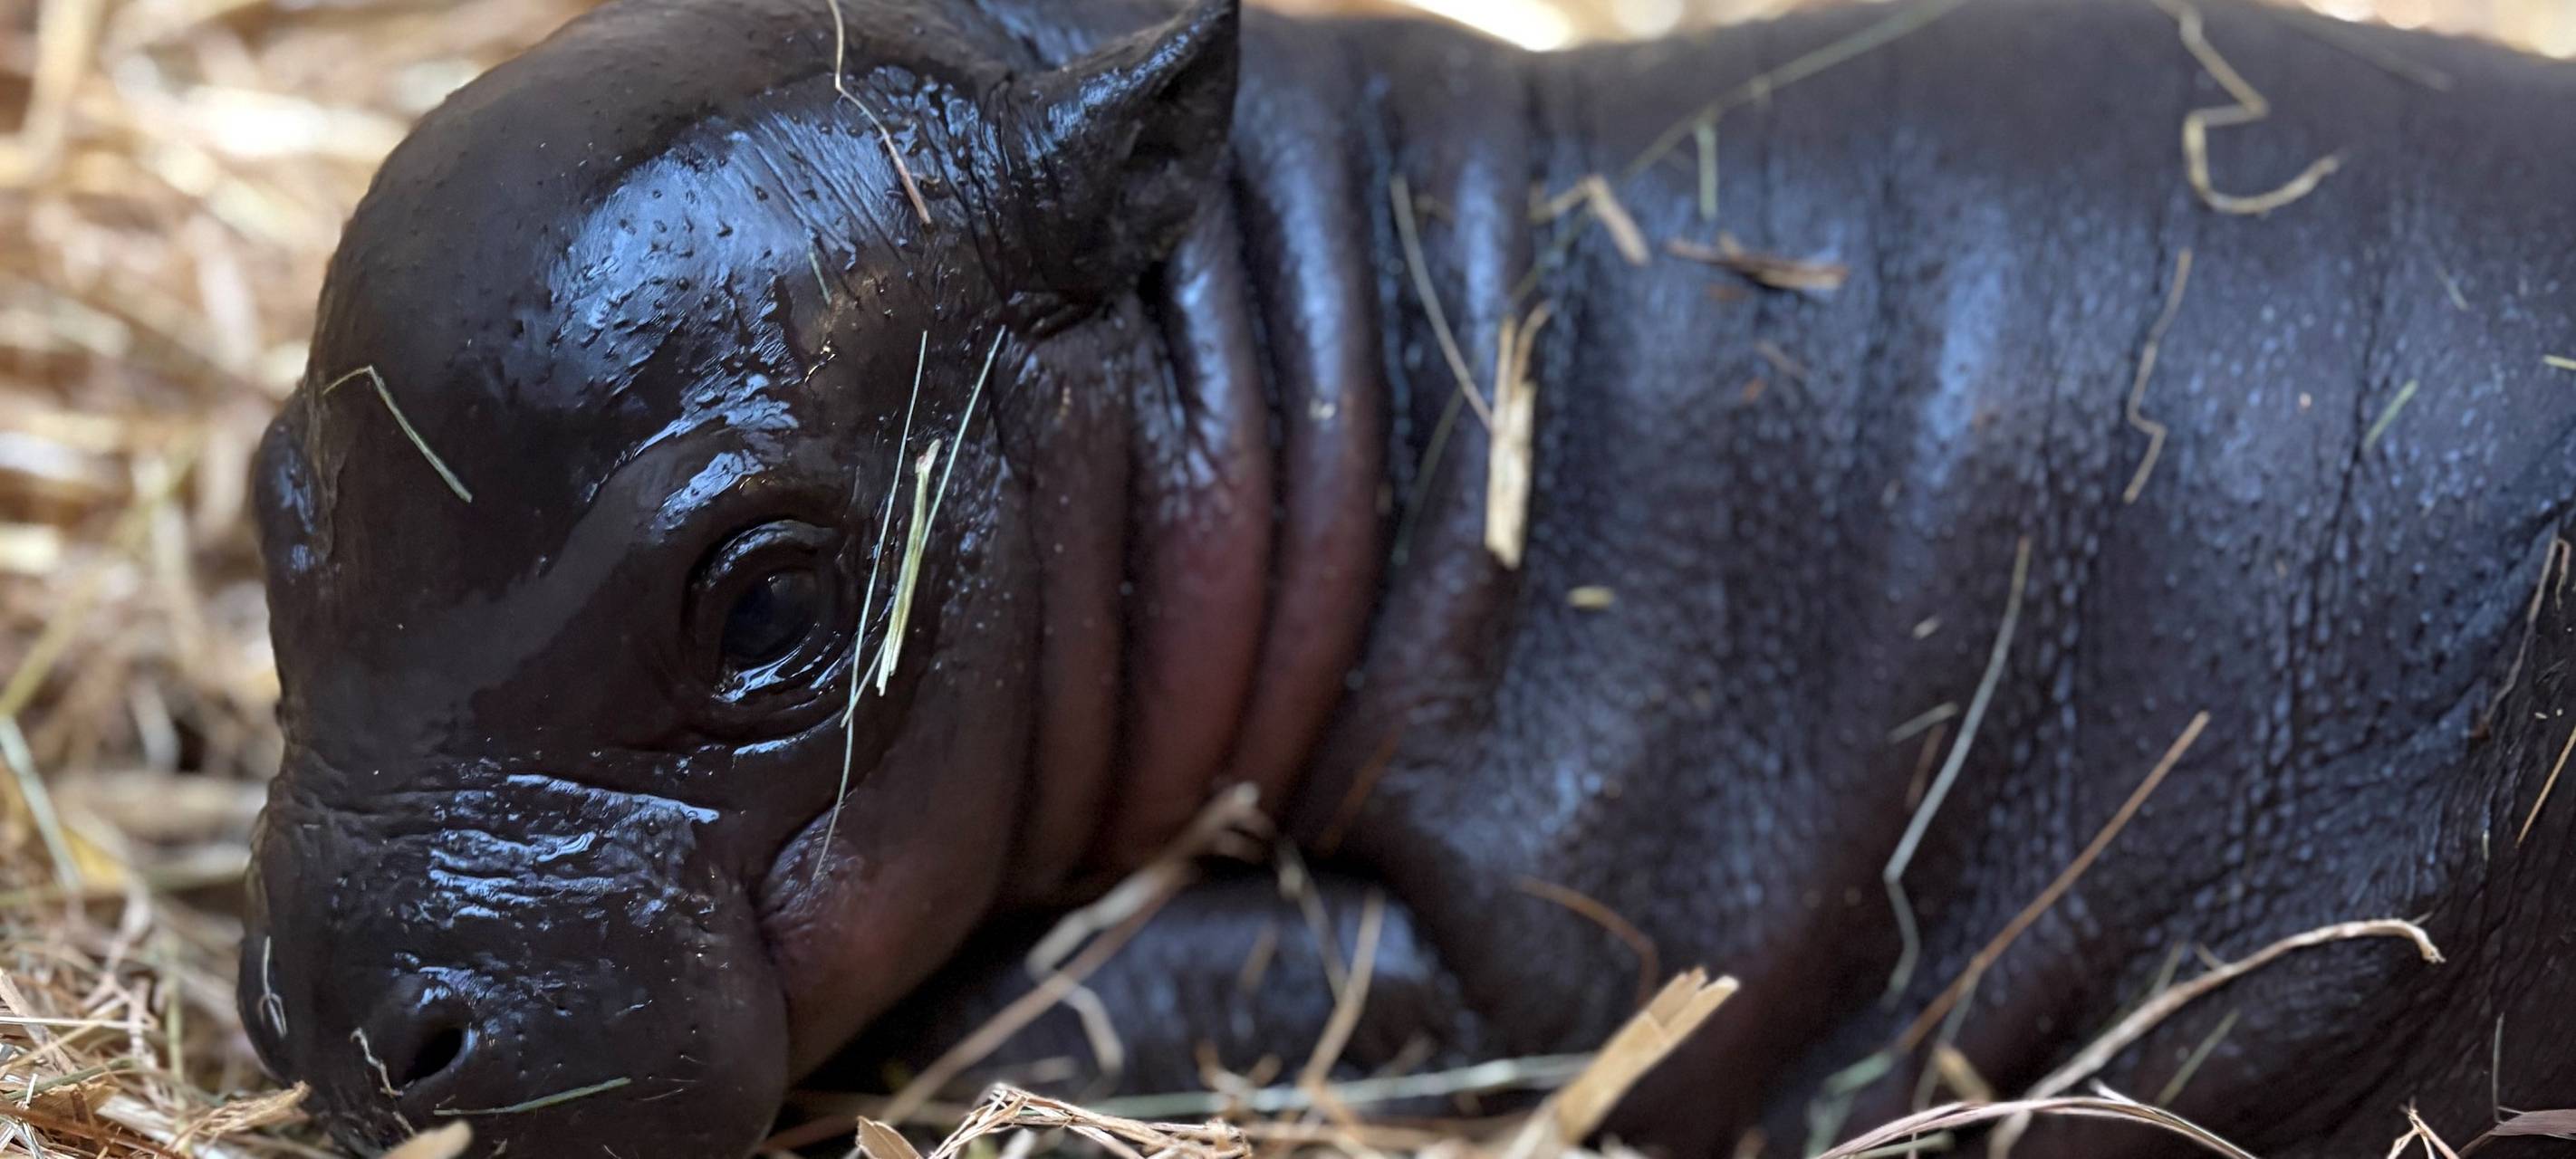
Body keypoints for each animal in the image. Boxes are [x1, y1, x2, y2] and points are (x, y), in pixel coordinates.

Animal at [239, 0, 2576, 1154]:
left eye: (765, 603)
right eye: (278, 495)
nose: (349, 1013)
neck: (1353, 338)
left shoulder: (1590, 949)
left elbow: (1097, 984)